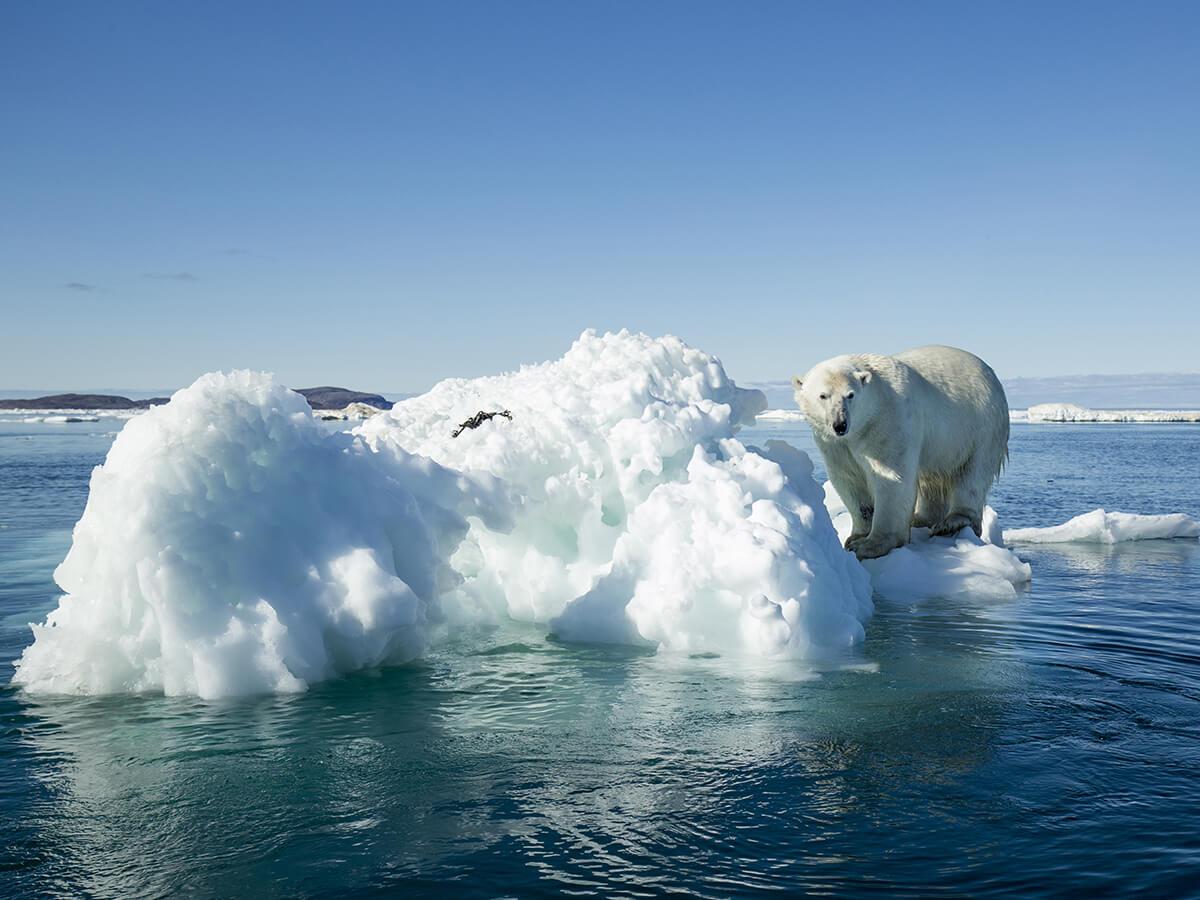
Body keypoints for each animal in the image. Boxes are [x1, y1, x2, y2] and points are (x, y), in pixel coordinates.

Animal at [792, 348, 1008, 561]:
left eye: (850, 395)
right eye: (823, 395)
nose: (840, 424)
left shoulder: (888, 422)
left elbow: (891, 478)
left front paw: (870, 545)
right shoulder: (835, 444)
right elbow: (849, 479)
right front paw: (856, 536)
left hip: (981, 425)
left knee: (973, 474)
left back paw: (952, 522)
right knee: (932, 480)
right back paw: (920, 519)